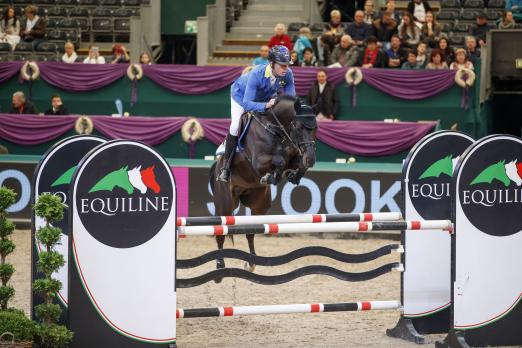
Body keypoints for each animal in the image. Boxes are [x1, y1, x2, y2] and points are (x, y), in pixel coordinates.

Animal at [208, 96, 316, 282]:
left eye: (315, 127)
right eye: (298, 127)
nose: (311, 158)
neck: (277, 130)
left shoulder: (294, 155)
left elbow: (295, 164)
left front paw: (290, 176)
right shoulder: (258, 161)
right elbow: (279, 160)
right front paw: (271, 176)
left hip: (259, 204)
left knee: (251, 231)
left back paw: (251, 263)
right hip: (225, 203)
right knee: (220, 232)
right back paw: (220, 267)